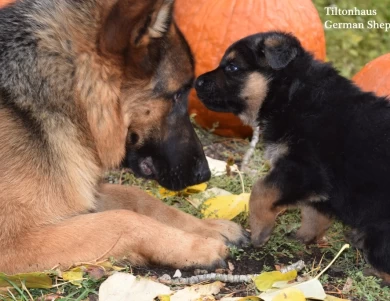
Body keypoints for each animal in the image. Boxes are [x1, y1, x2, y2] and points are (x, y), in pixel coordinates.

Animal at [0, 0, 248, 272]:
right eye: (179, 94)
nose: (204, 174)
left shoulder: (85, 194)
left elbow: (139, 197)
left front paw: (207, 227)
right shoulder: (13, 244)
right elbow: (123, 220)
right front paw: (196, 246)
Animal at [197, 31, 390, 282]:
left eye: (233, 67)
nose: (196, 82)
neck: (291, 95)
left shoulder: (303, 169)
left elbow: (260, 191)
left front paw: (259, 231)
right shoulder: (316, 185)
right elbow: (313, 212)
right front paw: (303, 237)